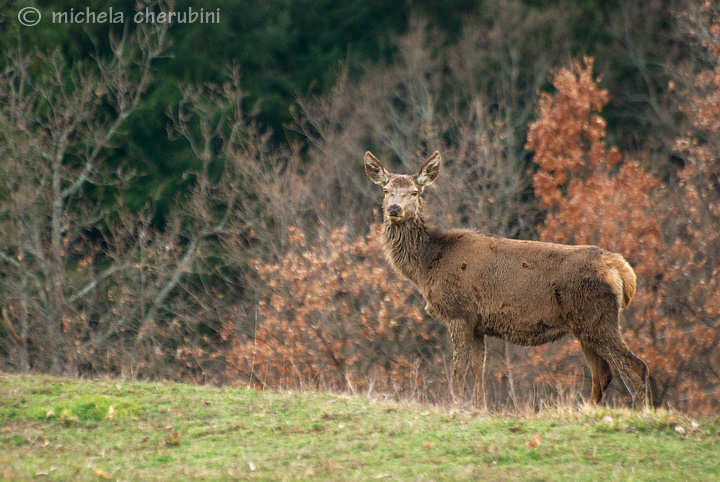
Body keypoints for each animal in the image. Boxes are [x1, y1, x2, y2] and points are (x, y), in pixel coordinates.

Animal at [362, 151, 648, 410]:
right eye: (386, 190)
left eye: (414, 192)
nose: (394, 209)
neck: (427, 264)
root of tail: (622, 271)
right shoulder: (477, 323)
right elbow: (478, 369)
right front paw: (481, 408)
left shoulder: (458, 313)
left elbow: (458, 370)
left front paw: (454, 404)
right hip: (585, 325)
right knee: (602, 374)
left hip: (597, 318)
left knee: (635, 366)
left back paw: (641, 410)